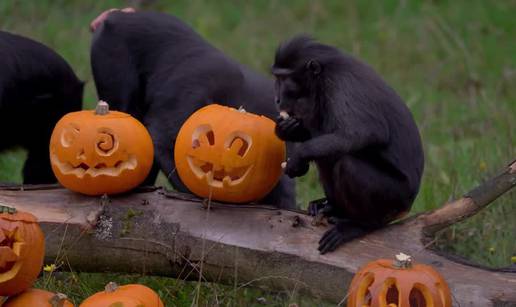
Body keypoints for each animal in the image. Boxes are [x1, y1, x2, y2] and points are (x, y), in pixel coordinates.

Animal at [272, 35, 426, 255]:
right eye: (276, 77)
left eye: (283, 79)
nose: (277, 99)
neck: (324, 74)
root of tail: (408, 204)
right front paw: (286, 130)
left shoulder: (341, 84)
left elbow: (364, 132)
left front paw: (299, 156)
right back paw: (332, 207)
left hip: (394, 198)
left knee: (347, 163)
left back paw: (361, 224)